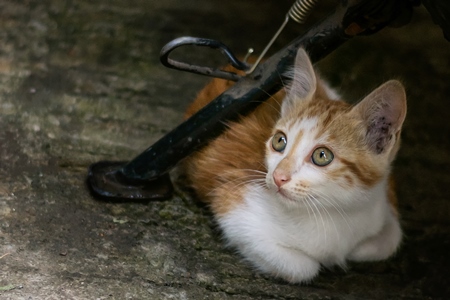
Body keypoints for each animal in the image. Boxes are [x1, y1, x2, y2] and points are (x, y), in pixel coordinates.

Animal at [181, 49, 406, 284]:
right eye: (279, 141)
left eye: (322, 156)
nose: (278, 176)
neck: (333, 210)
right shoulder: (235, 209)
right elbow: (302, 267)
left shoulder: (381, 196)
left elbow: (392, 236)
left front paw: (359, 249)